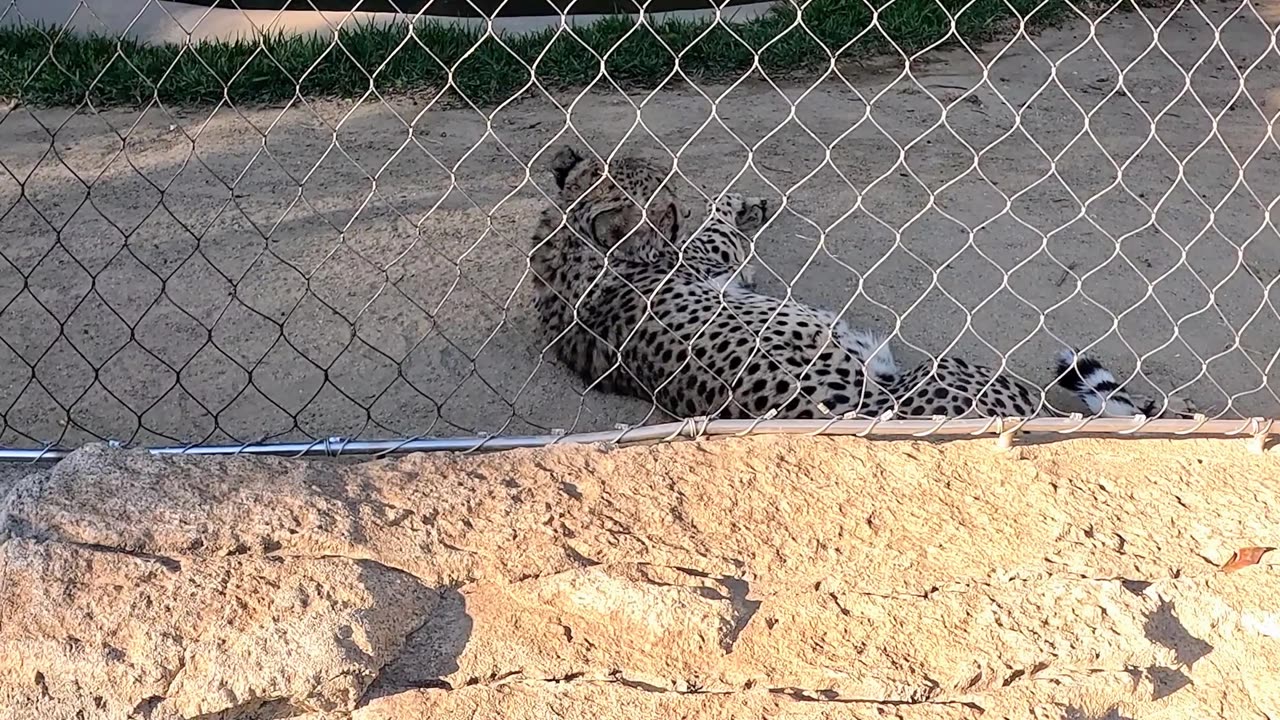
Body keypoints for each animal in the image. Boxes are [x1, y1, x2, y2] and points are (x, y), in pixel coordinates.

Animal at [524, 142, 1157, 417]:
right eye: (666, 202)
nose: (677, 189)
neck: (569, 240)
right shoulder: (704, 260)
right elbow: (717, 231)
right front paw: (740, 203)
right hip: (957, 373)